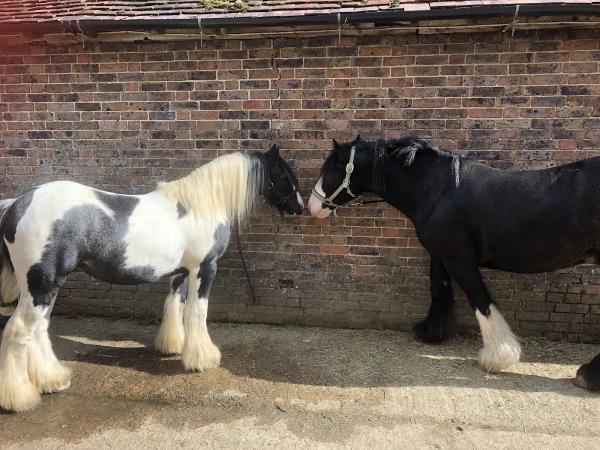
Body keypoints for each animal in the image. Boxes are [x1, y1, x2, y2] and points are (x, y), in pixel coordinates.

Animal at [0, 146, 300, 414]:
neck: (201, 205)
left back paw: (53, 380)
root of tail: (15, 205)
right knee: (18, 332)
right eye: (285, 175)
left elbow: (175, 306)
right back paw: (20, 398)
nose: (298, 208)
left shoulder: (182, 272)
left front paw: (173, 346)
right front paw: (204, 358)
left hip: (46, 287)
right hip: (41, 286)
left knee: (39, 330)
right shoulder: (204, 268)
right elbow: (197, 312)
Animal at [310, 135, 600, 392]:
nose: (313, 206)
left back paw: (588, 376)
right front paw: (430, 332)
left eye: (332, 169)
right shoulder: (439, 255)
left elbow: (480, 301)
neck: (439, 192)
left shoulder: (459, 260)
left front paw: (498, 357)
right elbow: (439, 290)